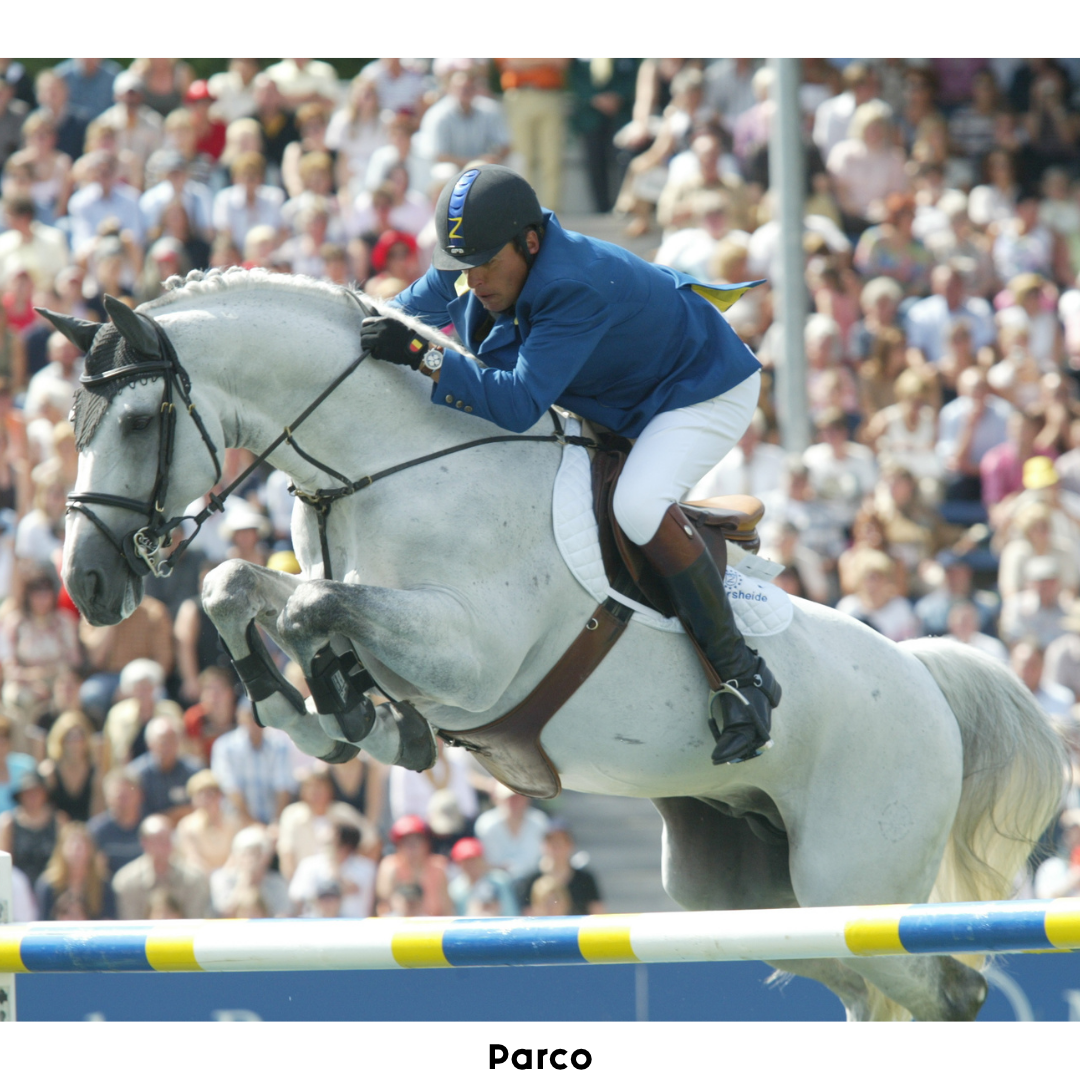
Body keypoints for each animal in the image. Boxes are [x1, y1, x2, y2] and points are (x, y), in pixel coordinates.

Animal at [55, 269, 1067, 1021]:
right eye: (74, 424)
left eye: (138, 423)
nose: (88, 586)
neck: (385, 465)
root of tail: (925, 679)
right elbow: (243, 587)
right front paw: (332, 715)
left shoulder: (469, 653)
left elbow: (311, 608)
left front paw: (348, 713)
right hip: (741, 896)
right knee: (875, 988)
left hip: (850, 878)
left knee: (951, 988)